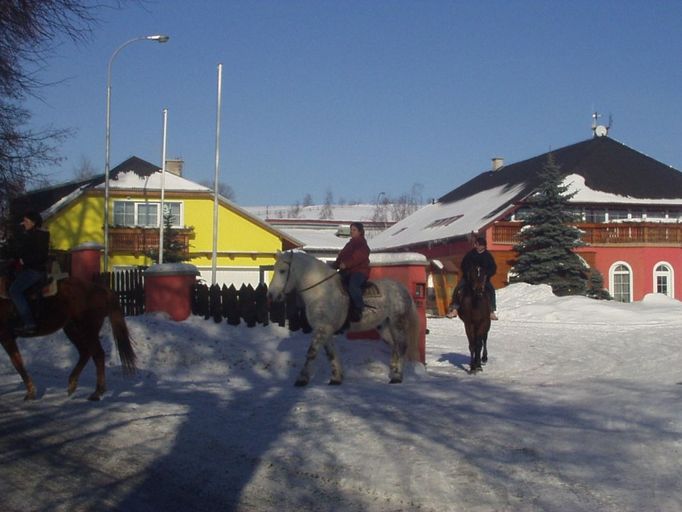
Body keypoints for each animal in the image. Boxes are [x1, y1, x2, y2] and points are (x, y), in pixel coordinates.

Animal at [0, 274, 135, 402]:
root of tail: (100, 289)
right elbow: (18, 363)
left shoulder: (6, 338)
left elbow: (18, 364)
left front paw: (31, 393)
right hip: (72, 330)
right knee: (85, 352)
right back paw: (72, 384)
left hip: (87, 330)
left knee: (98, 355)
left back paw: (97, 392)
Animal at [266, 250, 420, 386]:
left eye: (282, 271)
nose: (271, 294)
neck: (321, 291)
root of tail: (402, 288)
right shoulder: (325, 330)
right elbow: (331, 354)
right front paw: (336, 378)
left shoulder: (322, 329)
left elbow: (311, 352)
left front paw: (302, 379)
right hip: (384, 327)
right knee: (395, 346)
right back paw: (393, 370)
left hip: (398, 324)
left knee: (401, 346)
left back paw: (397, 377)